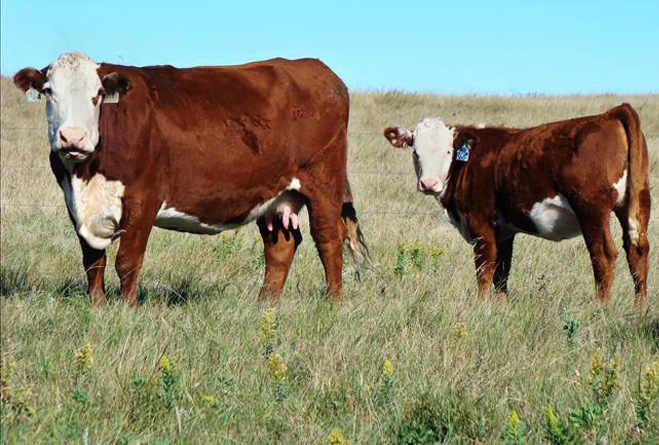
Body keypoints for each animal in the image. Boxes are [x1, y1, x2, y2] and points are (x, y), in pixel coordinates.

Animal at [14, 52, 370, 307]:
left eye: (98, 93)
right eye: (48, 91)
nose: (72, 137)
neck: (86, 173)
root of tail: (315, 67)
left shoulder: (144, 198)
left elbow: (127, 261)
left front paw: (126, 310)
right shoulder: (74, 203)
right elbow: (92, 261)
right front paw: (98, 307)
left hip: (323, 180)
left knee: (328, 238)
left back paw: (332, 303)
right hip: (276, 193)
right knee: (280, 245)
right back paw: (264, 305)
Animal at [384, 104, 650, 306]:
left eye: (448, 151)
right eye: (415, 152)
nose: (428, 183)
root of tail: (611, 113)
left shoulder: (481, 224)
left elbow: (485, 269)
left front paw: (482, 308)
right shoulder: (504, 231)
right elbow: (502, 273)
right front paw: (500, 310)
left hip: (591, 210)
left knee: (603, 255)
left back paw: (601, 309)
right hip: (637, 205)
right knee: (637, 251)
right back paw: (639, 309)